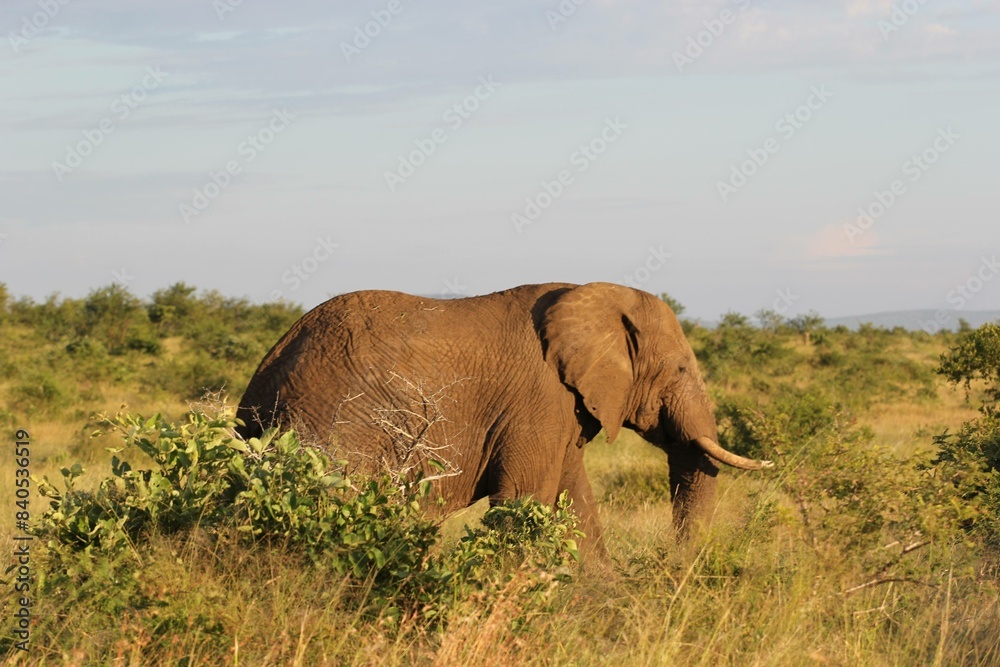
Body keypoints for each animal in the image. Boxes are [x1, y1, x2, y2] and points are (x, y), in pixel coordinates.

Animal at [235, 282, 770, 556]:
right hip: (339, 433)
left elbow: (573, 499)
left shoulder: (563, 408)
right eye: (679, 369)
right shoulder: (539, 399)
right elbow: (524, 500)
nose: (673, 570)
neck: (594, 293)